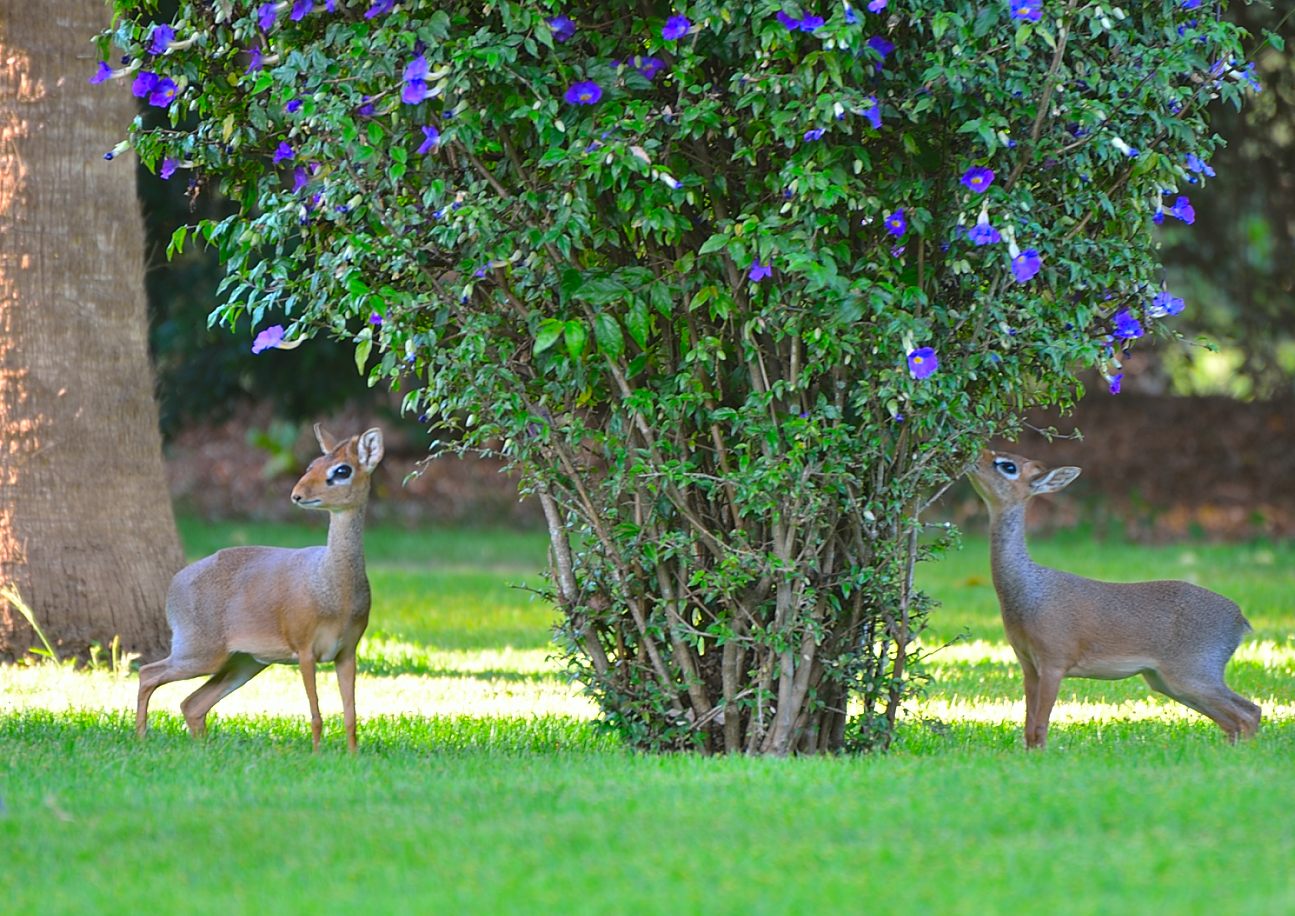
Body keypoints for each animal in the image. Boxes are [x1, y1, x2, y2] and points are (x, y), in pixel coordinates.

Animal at [136, 424, 384, 752]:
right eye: (312, 465)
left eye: (342, 470)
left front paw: (352, 757)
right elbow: (316, 715)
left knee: (192, 703)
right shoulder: (304, 647)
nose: (297, 494)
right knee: (147, 673)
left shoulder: (347, 651)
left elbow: (350, 715)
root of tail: (172, 588)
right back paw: (140, 737)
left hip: (244, 662)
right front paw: (318, 755)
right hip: (199, 651)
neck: (332, 590)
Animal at [966, 449, 1260, 749]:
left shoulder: (1054, 658)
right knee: (1235, 719)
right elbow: (1028, 727)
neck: (1027, 592)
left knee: (1248, 713)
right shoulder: (1027, 662)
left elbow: (1040, 724)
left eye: (1007, 466)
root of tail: (1241, 622)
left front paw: (1041, 754)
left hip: (1194, 671)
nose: (974, 456)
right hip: (1168, 680)